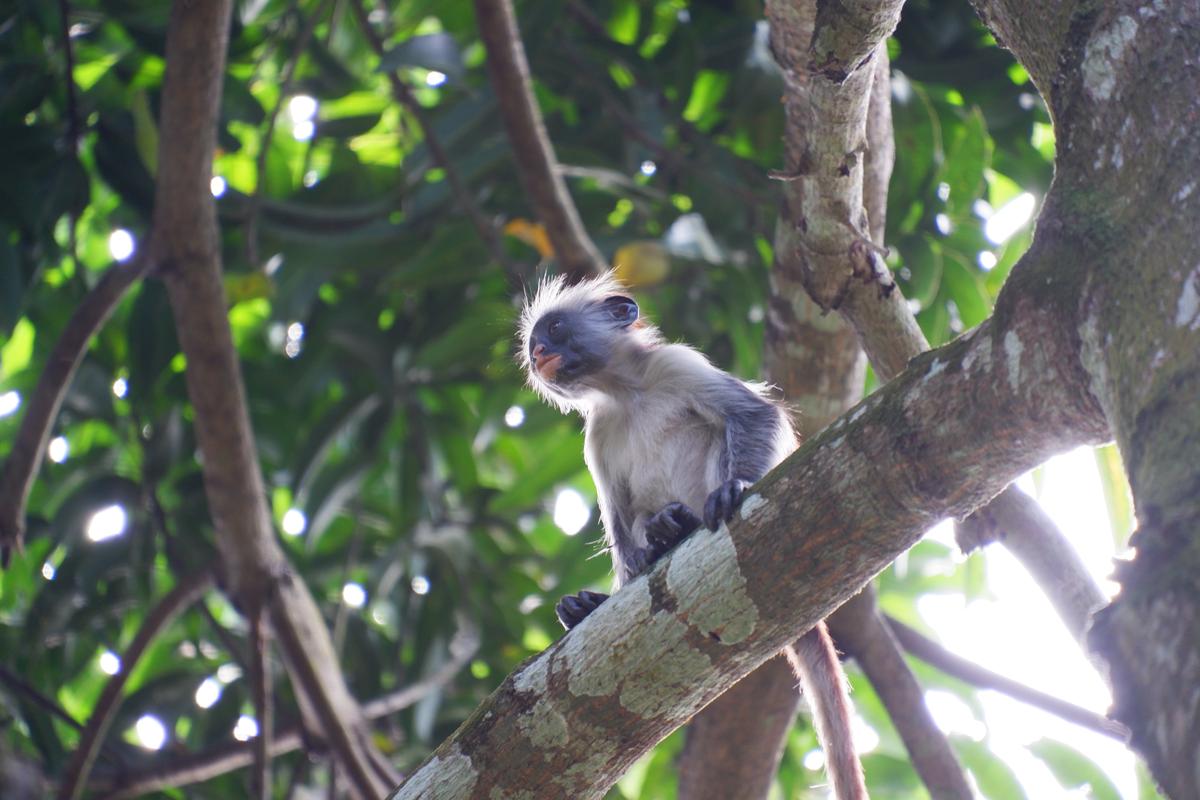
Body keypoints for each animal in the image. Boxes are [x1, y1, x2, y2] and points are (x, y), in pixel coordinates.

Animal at [519, 272, 868, 800]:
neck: (627, 392)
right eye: (534, 342)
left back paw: (677, 526)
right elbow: (620, 529)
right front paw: (598, 601)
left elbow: (756, 415)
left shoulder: (676, 363)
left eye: (555, 329)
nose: (539, 352)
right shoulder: (597, 433)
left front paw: (737, 487)